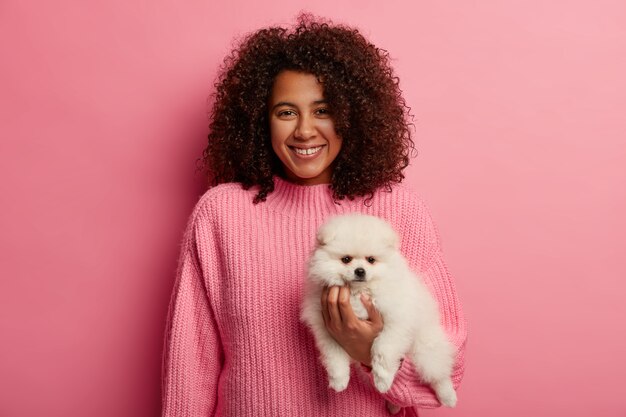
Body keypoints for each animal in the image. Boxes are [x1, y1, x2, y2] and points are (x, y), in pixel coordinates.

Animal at [300, 214, 456, 406]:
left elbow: (382, 349)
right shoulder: (327, 328)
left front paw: (382, 380)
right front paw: (338, 380)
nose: (360, 271)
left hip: (425, 349)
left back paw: (448, 396)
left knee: (438, 373)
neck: (358, 292)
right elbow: (334, 355)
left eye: (371, 260)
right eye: (346, 259)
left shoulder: (395, 323)